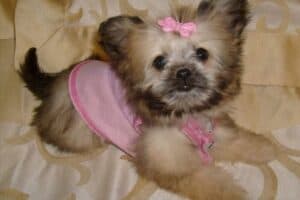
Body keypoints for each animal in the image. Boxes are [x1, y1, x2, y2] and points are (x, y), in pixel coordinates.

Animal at [18, 0, 276, 199]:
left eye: (202, 53)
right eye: (159, 62)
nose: (183, 72)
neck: (187, 115)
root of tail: (57, 80)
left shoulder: (214, 132)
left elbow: (239, 141)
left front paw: (264, 148)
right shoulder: (171, 163)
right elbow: (207, 180)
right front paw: (233, 191)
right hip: (77, 130)